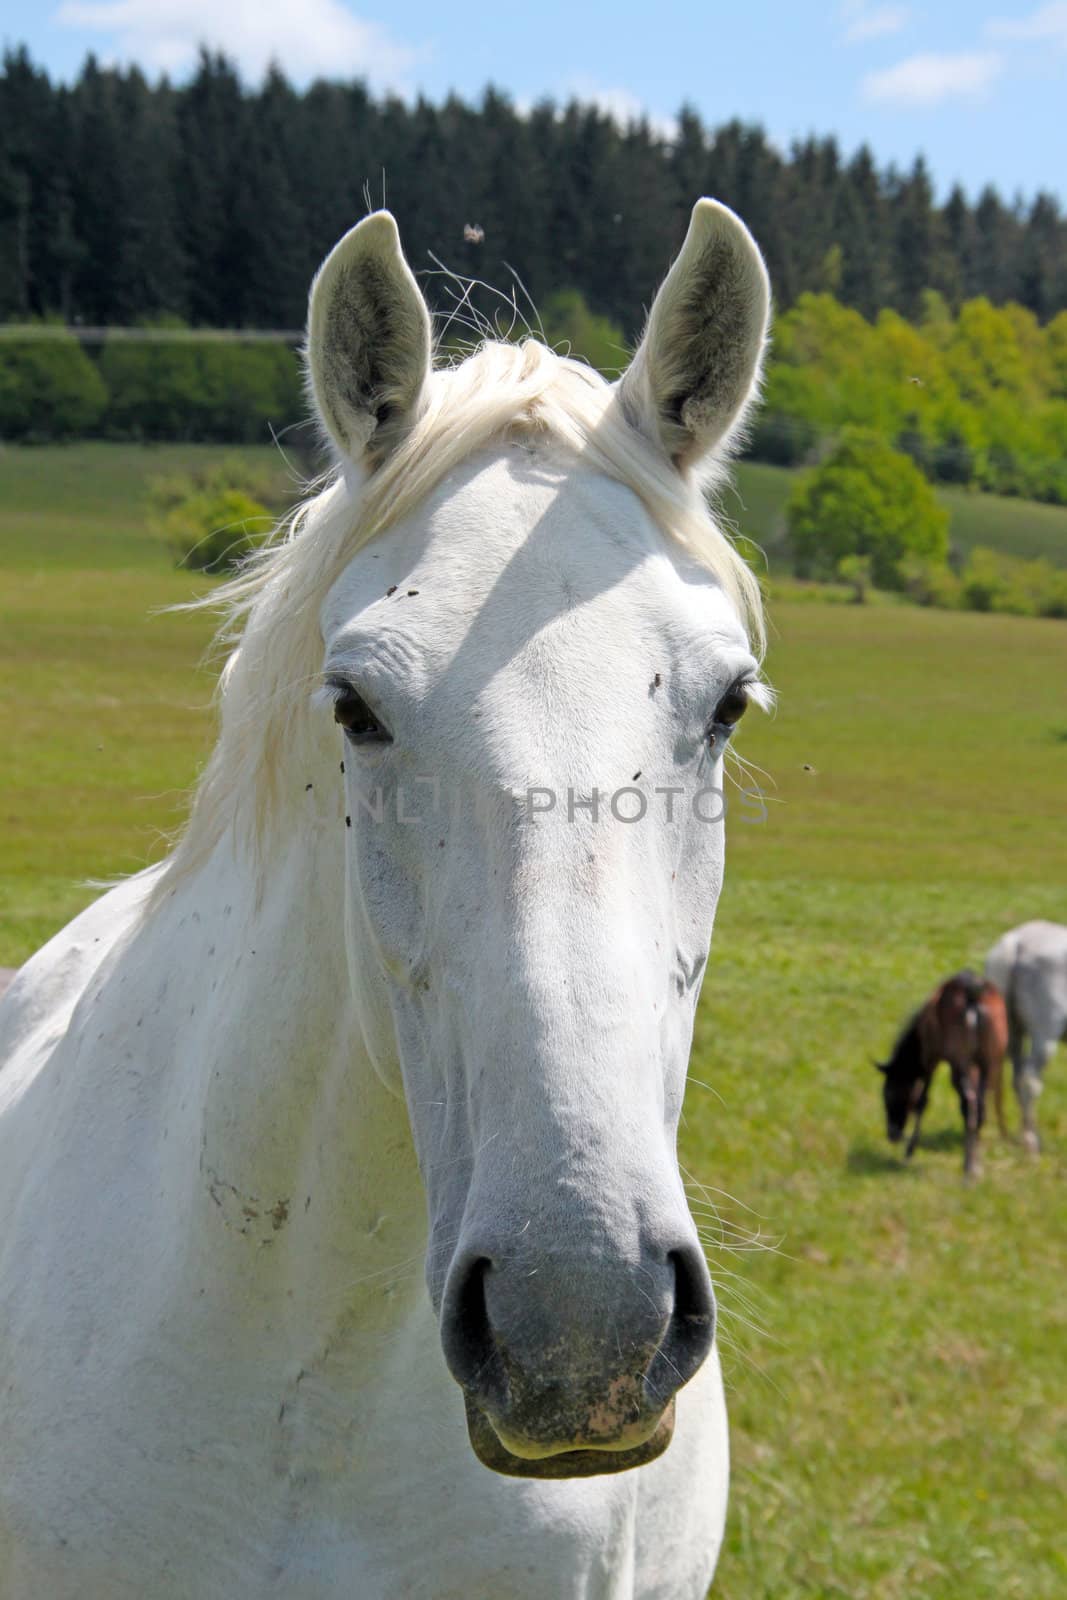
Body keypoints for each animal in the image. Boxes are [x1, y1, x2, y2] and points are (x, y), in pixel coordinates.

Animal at [876, 966, 1011, 1184]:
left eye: (888, 1095)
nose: (892, 1133)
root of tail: (972, 995)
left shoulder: (931, 1057)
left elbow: (922, 1101)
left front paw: (909, 1150)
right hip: (988, 1059)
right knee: (979, 1107)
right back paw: (974, 1166)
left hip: (961, 1059)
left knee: (969, 1104)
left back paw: (968, 1168)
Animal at [985, 921, 1067, 1158]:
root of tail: (1018, 942)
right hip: (1045, 1035)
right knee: (1030, 1081)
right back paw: (1032, 1144)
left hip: (1014, 1033)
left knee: (1018, 1079)